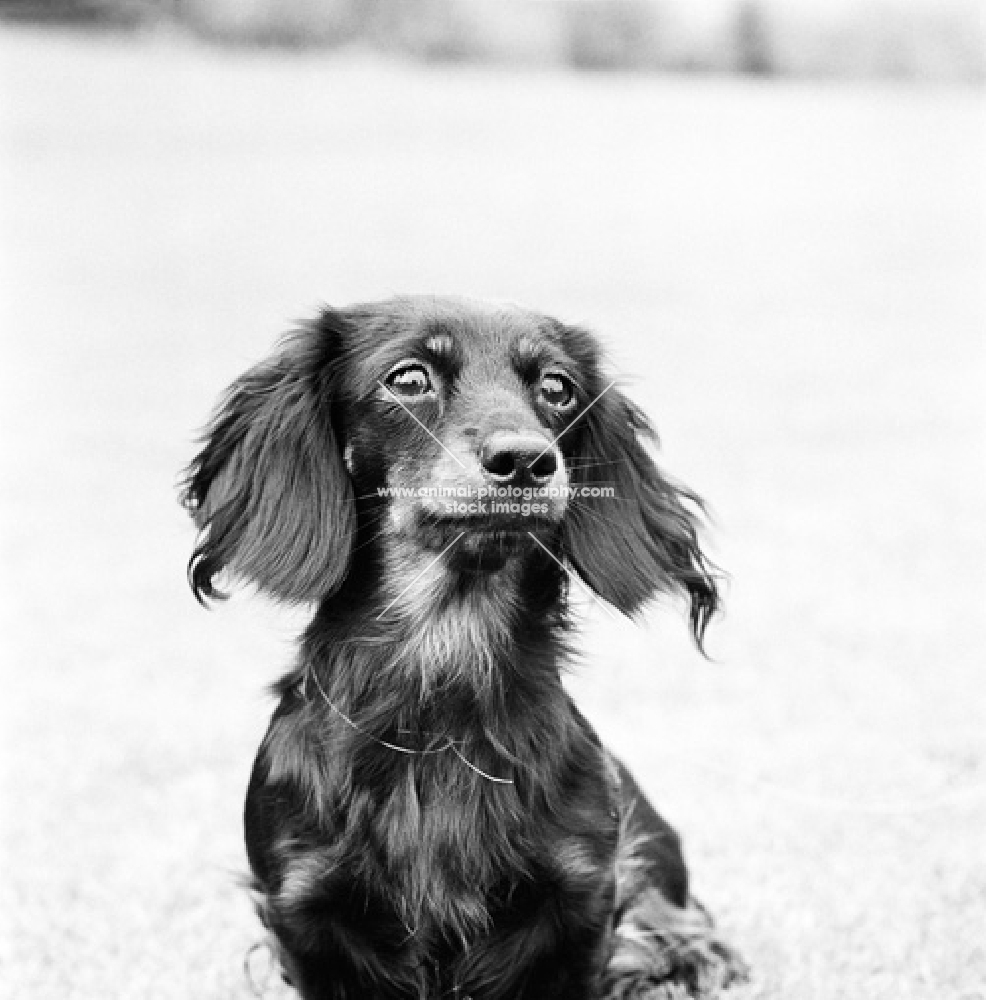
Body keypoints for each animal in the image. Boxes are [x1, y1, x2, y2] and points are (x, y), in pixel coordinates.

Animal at [181, 296, 740, 1000]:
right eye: (408, 378)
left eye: (558, 388)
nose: (526, 461)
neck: (440, 702)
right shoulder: (306, 912)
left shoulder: (581, 900)